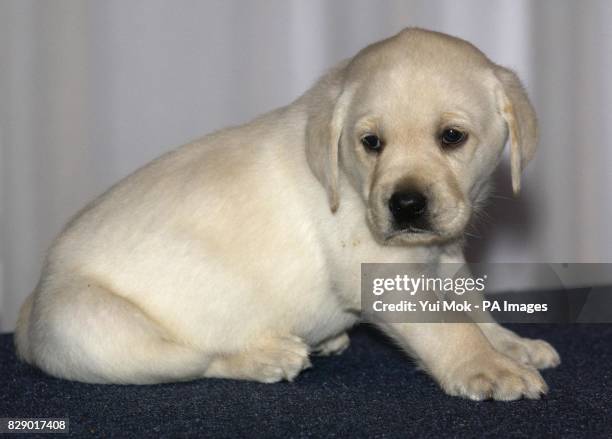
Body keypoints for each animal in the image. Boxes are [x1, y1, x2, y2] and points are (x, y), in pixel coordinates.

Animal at [14, 26, 560, 398]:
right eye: (371, 143)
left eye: (452, 136)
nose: (405, 205)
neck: (347, 180)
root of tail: (28, 319)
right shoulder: (385, 274)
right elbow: (451, 328)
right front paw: (486, 367)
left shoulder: (443, 259)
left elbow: (474, 310)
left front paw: (510, 344)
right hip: (96, 328)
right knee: (197, 359)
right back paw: (269, 355)